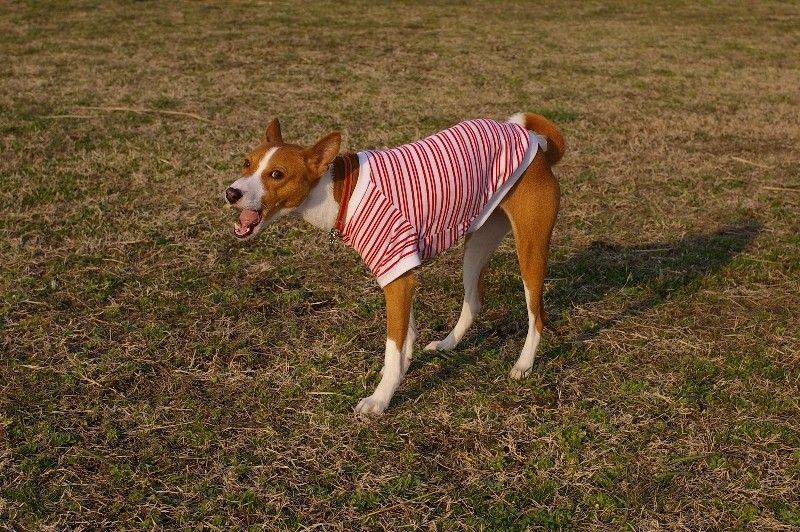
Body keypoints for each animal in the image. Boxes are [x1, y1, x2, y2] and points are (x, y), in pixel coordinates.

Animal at [224, 113, 563, 414]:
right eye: (246, 163)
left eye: (277, 174)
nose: (231, 192)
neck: (340, 192)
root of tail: (534, 143)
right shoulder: (401, 273)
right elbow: (406, 334)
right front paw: (402, 369)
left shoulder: (397, 272)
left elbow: (392, 345)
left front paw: (380, 398)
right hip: (477, 245)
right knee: (474, 301)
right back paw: (447, 344)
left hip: (530, 252)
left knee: (537, 316)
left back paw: (523, 364)